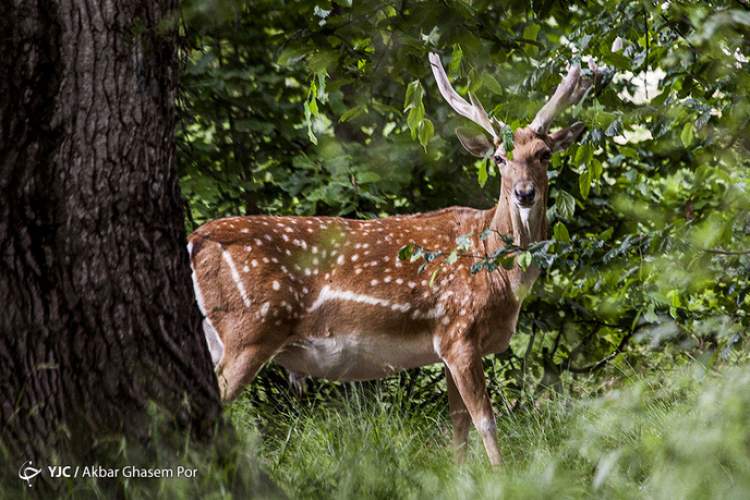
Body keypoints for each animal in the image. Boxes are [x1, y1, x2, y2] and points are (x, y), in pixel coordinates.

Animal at [191, 51, 608, 464]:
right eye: (500, 158)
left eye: (544, 154)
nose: (524, 193)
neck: (498, 273)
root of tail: (194, 241)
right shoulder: (459, 328)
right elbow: (485, 421)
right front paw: (501, 473)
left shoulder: (445, 344)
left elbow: (458, 424)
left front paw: (461, 474)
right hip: (249, 327)